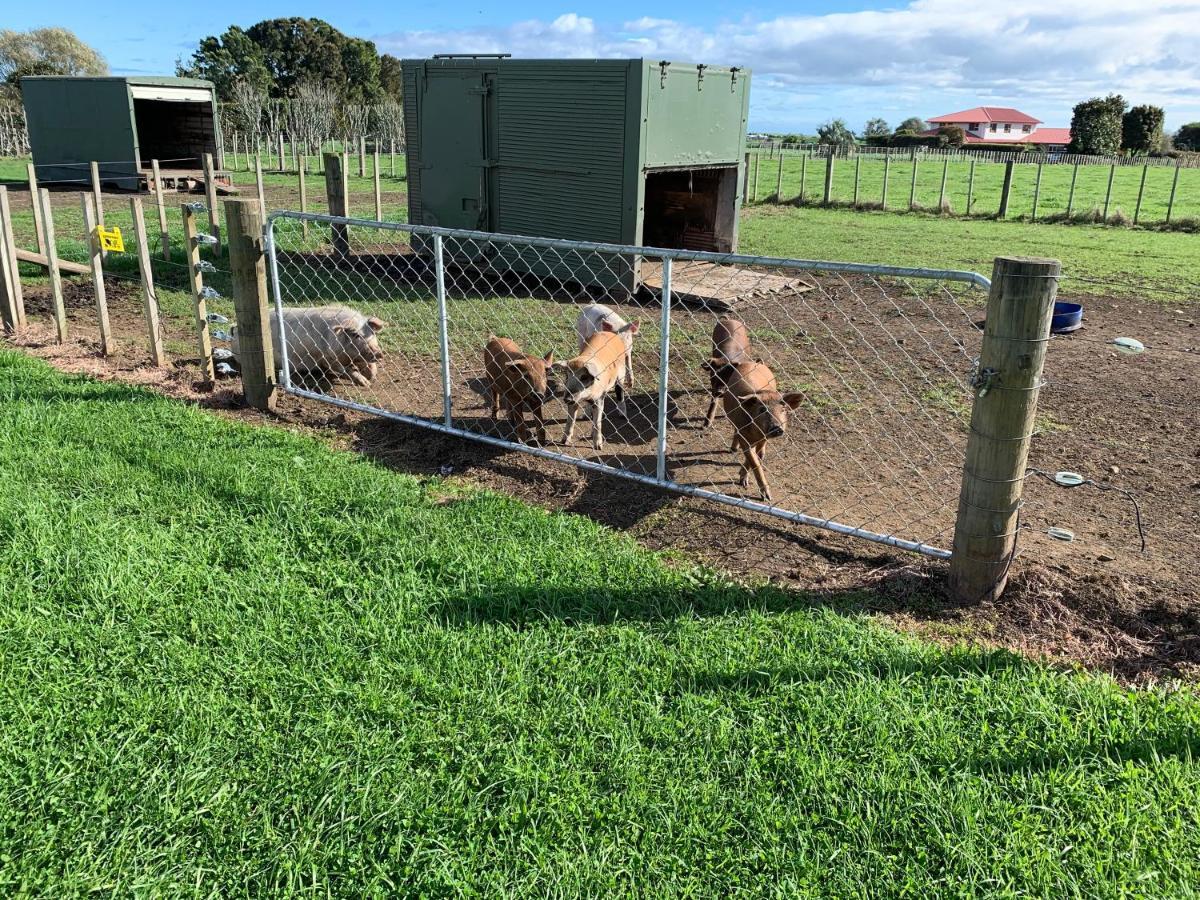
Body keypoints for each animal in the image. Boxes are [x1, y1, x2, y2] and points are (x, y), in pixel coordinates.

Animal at [720, 362, 806, 504]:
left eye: (783, 409)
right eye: (762, 409)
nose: (777, 427)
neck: (756, 433)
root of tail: (754, 362)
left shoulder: (763, 438)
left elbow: (756, 457)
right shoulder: (743, 435)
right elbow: (753, 461)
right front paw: (765, 497)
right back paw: (732, 450)